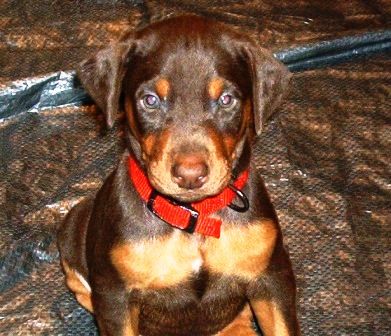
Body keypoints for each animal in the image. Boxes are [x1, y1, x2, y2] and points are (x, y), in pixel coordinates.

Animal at [57, 15, 300, 336]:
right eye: (150, 100)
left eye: (226, 100)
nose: (190, 176)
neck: (193, 215)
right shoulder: (115, 296)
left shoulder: (272, 277)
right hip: (74, 227)